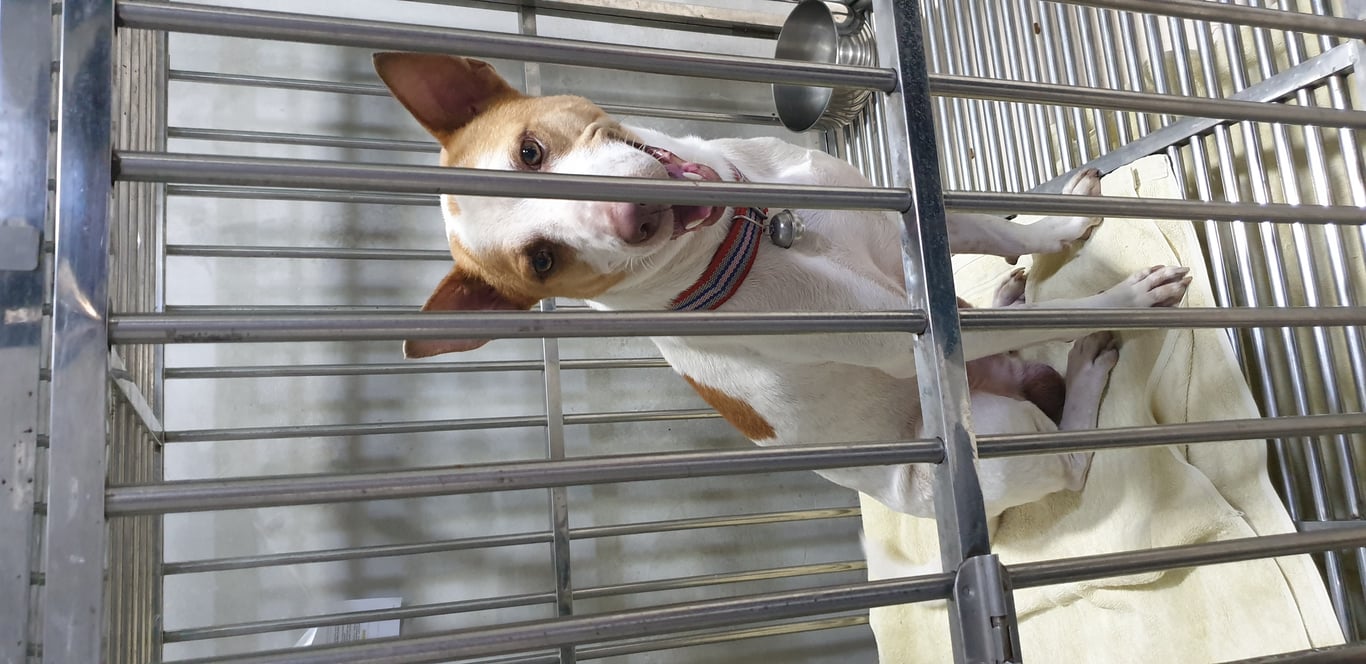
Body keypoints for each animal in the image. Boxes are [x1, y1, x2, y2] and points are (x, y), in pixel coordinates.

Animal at [373, 52, 1191, 520]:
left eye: (530, 152)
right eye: (540, 261)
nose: (635, 218)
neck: (760, 233)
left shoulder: (905, 219)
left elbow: (1002, 235)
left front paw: (1063, 225)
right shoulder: (903, 331)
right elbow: (1063, 305)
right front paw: (1124, 300)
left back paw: (1005, 296)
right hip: (996, 435)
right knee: (1074, 463)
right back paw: (1084, 368)